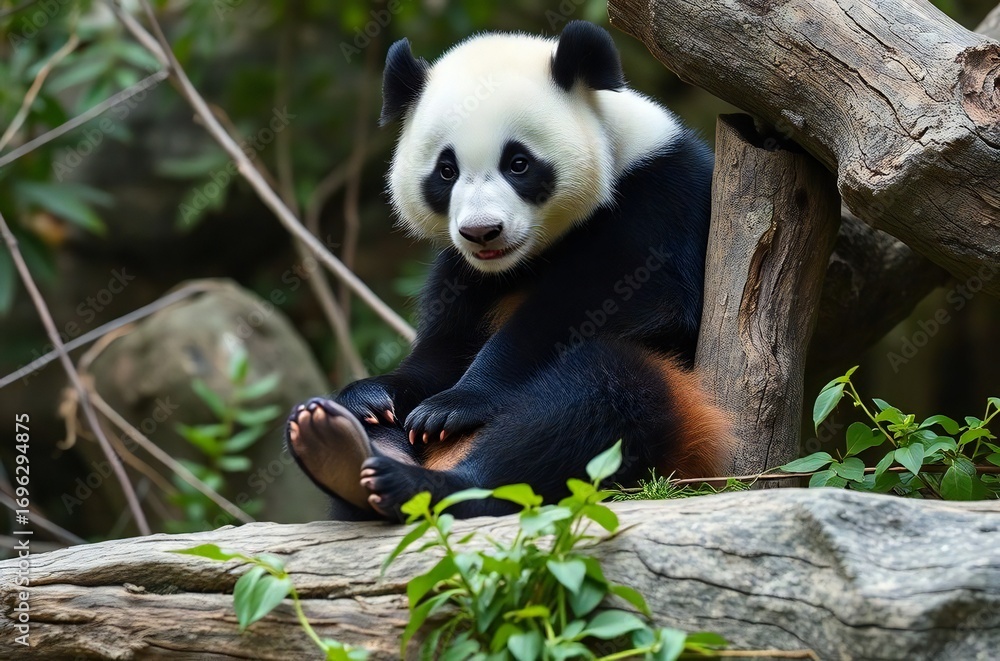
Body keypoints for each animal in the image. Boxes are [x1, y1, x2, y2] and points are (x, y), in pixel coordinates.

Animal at [285, 20, 734, 520]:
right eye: (446, 170)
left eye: (518, 163)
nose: (482, 232)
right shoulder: (462, 273)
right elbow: (441, 351)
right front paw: (372, 394)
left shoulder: (663, 198)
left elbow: (614, 298)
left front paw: (455, 404)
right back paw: (340, 444)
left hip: (685, 418)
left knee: (596, 400)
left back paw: (424, 482)